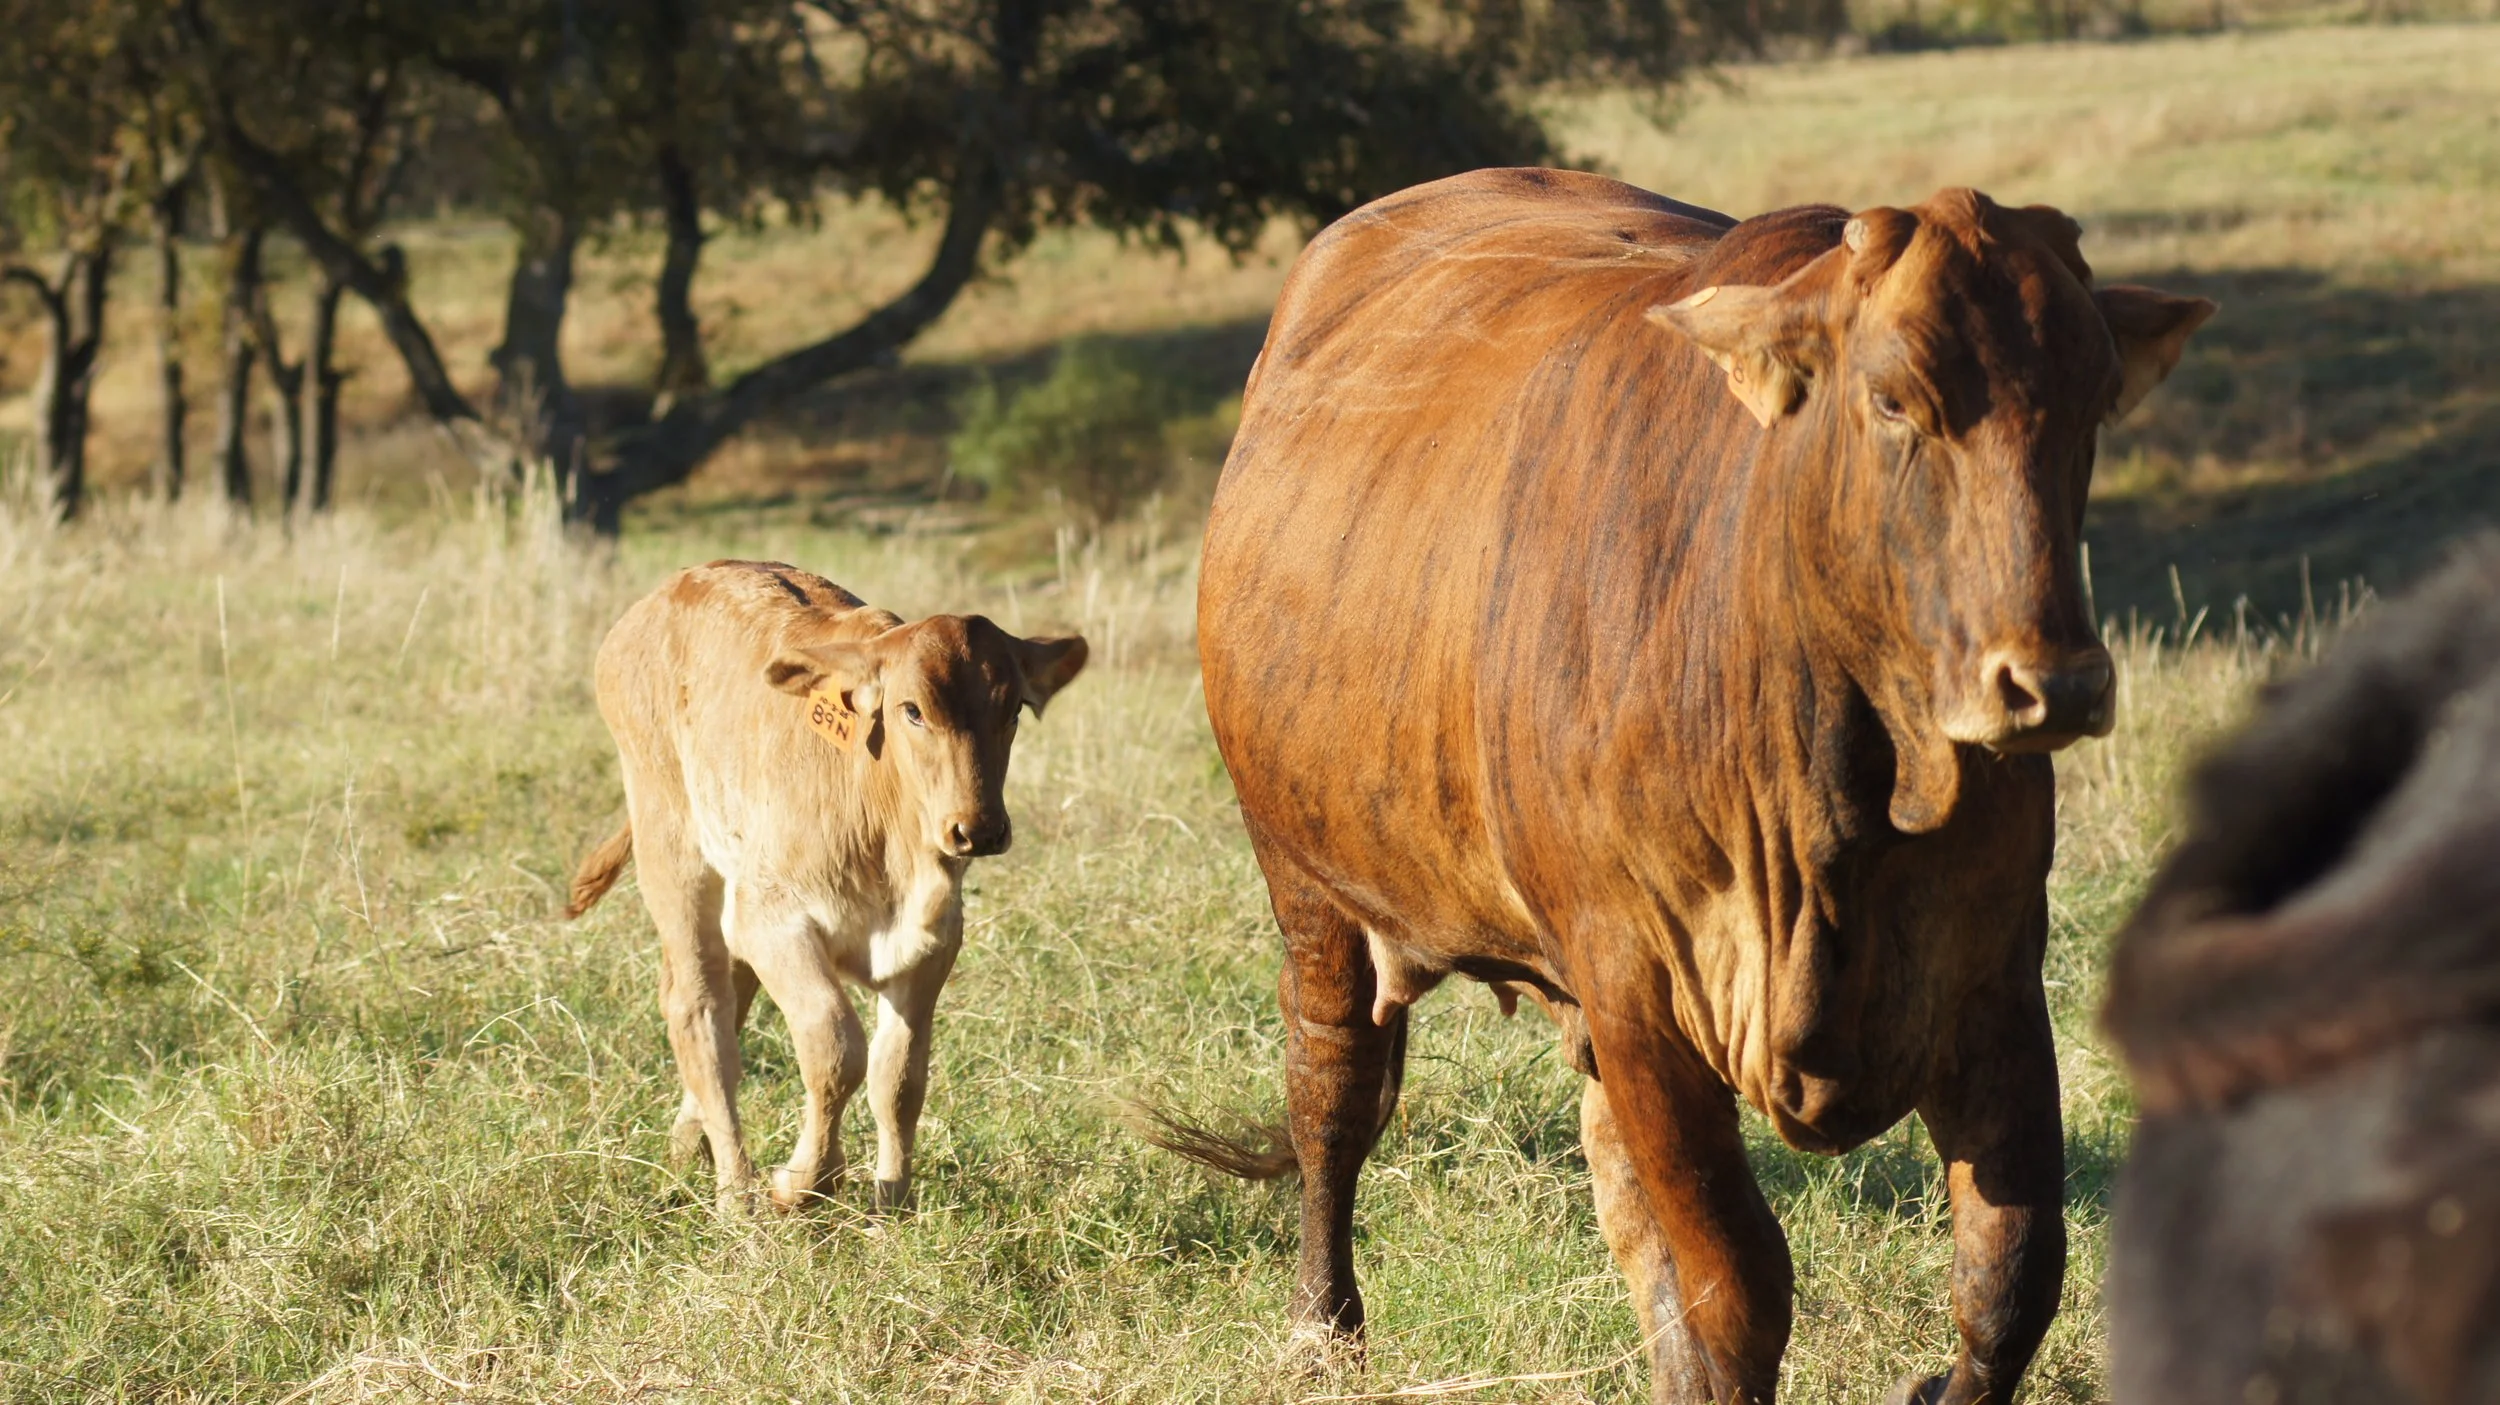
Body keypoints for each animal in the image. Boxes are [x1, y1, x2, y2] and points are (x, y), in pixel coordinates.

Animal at [565, 560, 1087, 1211]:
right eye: (912, 710)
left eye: (1013, 709)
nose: (979, 829)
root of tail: (661, 596)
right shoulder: (774, 919)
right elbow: (836, 1047)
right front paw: (803, 1181)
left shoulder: (935, 941)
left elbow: (900, 1076)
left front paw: (892, 1200)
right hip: (672, 848)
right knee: (699, 1007)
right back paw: (736, 1192)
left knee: (728, 998)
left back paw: (691, 1144)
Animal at [1150, 168, 2215, 1404]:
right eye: (1894, 400)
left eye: (2093, 404)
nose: (2057, 682)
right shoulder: (1638, 989)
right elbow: (1736, 1294)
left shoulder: (1991, 973)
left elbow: (2010, 1279)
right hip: (1311, 888)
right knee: (1332, 1094)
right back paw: (1324, 1325)